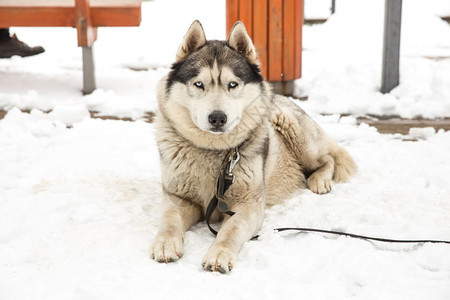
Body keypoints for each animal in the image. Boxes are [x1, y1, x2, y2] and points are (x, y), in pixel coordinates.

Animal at [153, 19, 356, 274]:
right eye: (199, 84)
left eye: (232, 84)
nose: (217, 118)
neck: (213, 151)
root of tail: (281, 97)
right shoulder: (178, 196)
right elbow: (170, 218)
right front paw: (165, 242)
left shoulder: (248, 205)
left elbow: (231, 230)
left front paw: (219, 253)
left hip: (292, 127)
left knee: (328, 158)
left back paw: (319, 180)